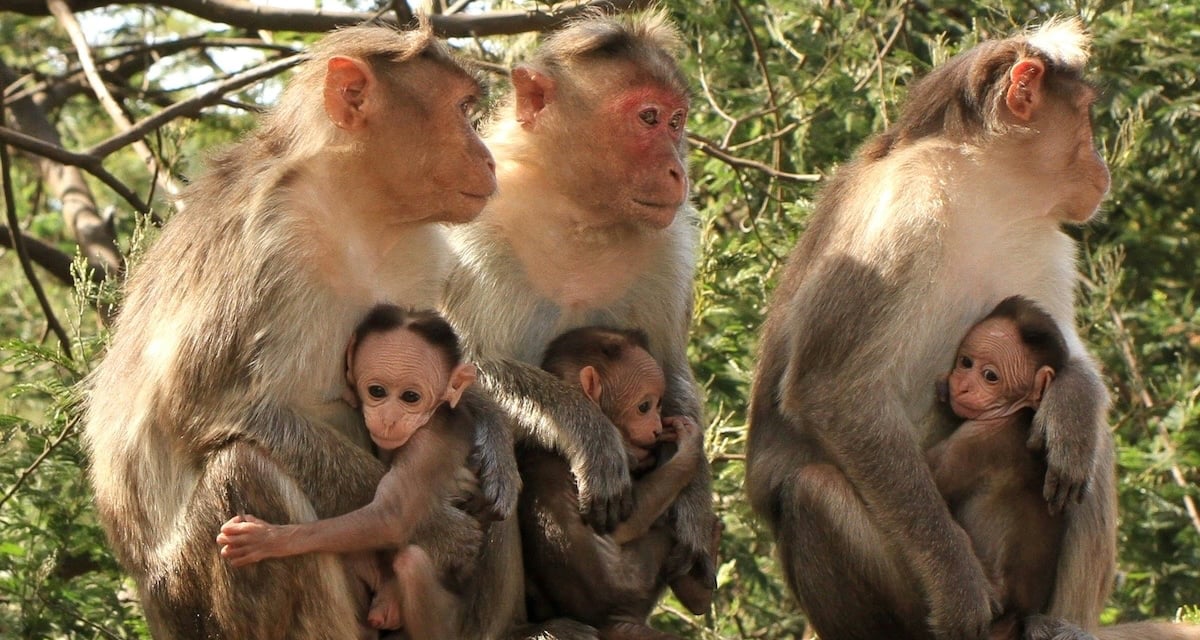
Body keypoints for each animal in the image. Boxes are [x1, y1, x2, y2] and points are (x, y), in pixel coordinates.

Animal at [217, 305, 484, 639]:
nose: (389, 419)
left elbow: (390, 516)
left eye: (411, 396)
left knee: (411, 563)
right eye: (377, 391)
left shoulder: (430, 440)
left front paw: (269, 540)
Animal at [518, 326, 716, 640]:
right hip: (633, 583)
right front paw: (690, 446)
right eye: (644, 407)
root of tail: (609, 623)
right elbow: (625, 524)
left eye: (659, 405)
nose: (657, 428)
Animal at [746, 18, 1119, 640]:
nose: (1103, 165)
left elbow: (1064, 356)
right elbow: (831, 388)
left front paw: (1073, 403)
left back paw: (1062, 622)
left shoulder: (1045, 242)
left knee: (1090, 451)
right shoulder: (905, 208)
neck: (987, 186)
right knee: (810, 489)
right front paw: (959, 586)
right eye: (1088, 116)